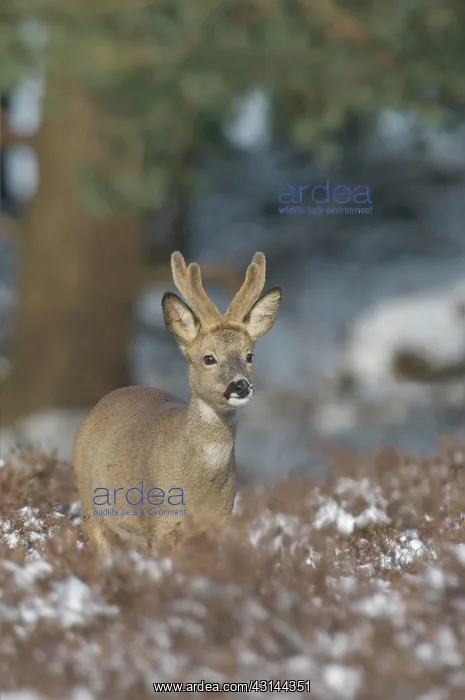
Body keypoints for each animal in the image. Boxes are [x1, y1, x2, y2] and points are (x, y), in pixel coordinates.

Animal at [73, 251, 282, 555]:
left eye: (249, 355)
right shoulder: (161, 521)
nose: (241, 385)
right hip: (90, 502)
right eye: (209, 358)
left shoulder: (220, 521)